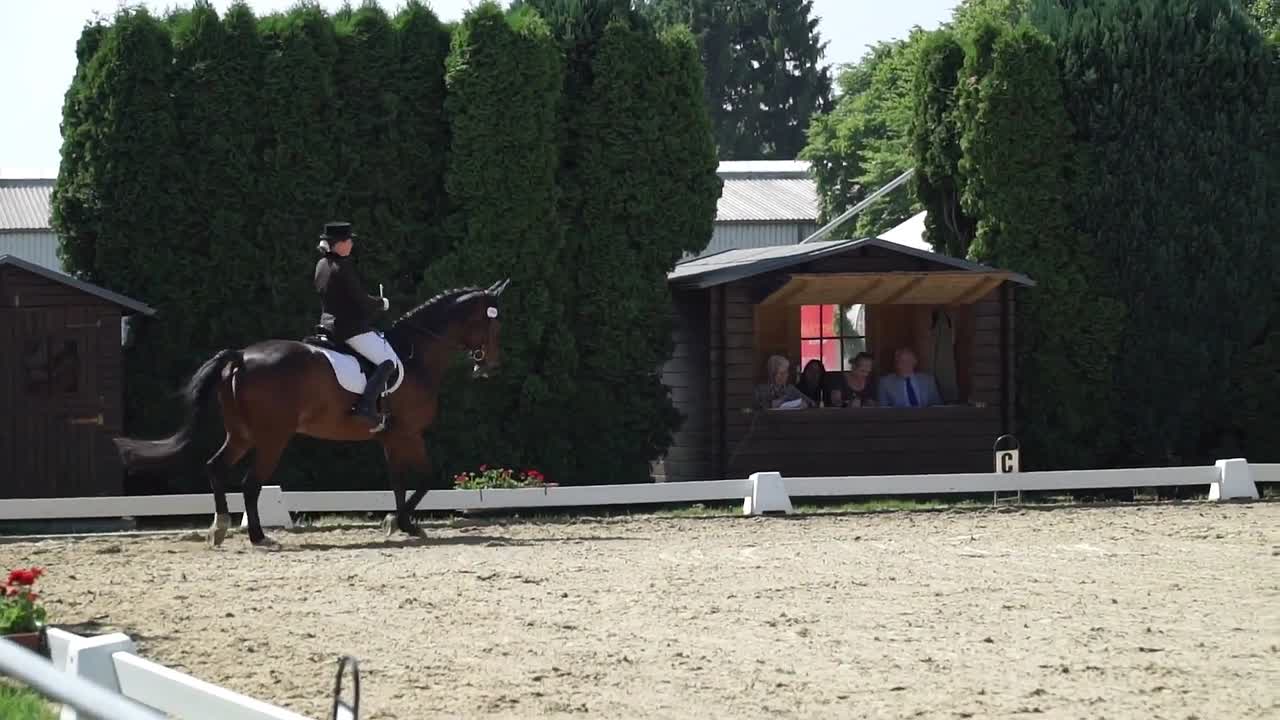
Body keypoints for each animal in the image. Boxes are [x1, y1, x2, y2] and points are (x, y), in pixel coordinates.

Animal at [112, 279, 510, 549]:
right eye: (492, 323)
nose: (489, 366)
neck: (415, 355)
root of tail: (240, 356)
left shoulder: (391, 435)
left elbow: (398, 482)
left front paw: (398, 522)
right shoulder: (409, 432)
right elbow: (426, 478)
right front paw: (403, 523)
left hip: (242, 434)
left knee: (215, 468)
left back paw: (220, 527)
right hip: (273, 437)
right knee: (250, 483)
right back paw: (258, 537)